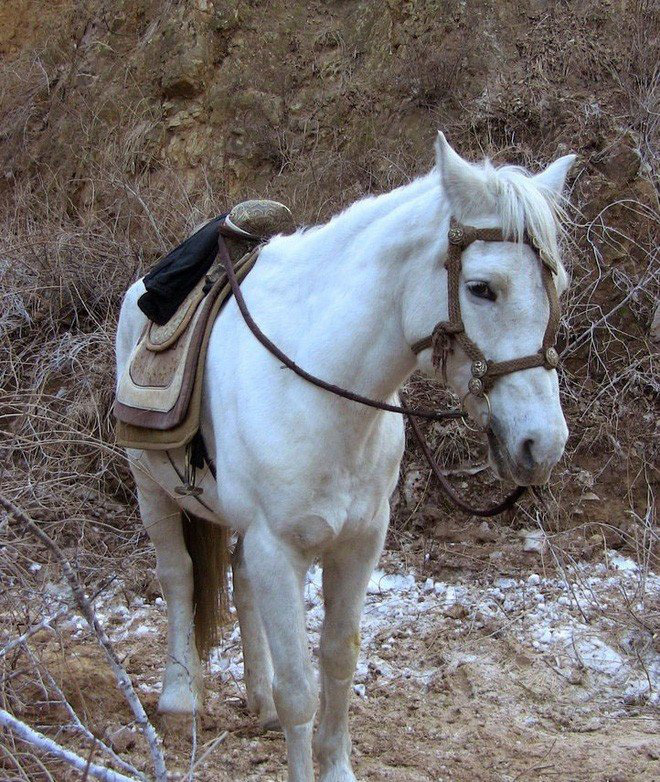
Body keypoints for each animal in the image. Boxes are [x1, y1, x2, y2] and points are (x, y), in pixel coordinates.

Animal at [116, 135, 576, 782]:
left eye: (557, 284)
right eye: (483, 287)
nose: (543, 444)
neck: (319, 386)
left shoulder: (359, 542)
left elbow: (337, 661)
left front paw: (333, 765)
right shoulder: (278, 547)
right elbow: (299, 691)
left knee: (238, 580)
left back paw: (255, 699)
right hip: (149, 486)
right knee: (179, 575)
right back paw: (180, 696)